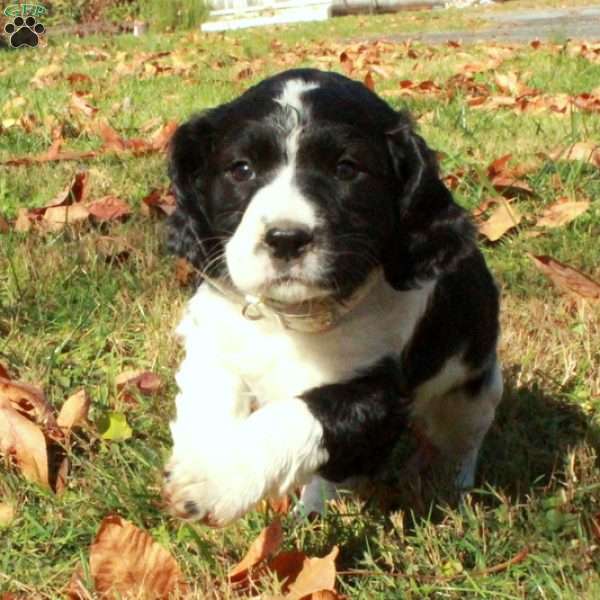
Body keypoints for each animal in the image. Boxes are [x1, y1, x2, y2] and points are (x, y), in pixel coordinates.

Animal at [163, 67, 502, 524]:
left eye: (346, 169)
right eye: (242, 169)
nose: (286, 239)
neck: (293, 319)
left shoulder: (377, 398)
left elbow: (299, 415)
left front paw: (217, 478)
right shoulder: (215, 336)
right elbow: (209, 396)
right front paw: (206, 458)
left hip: (473, 393)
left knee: (465, 442)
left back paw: (451, 484)